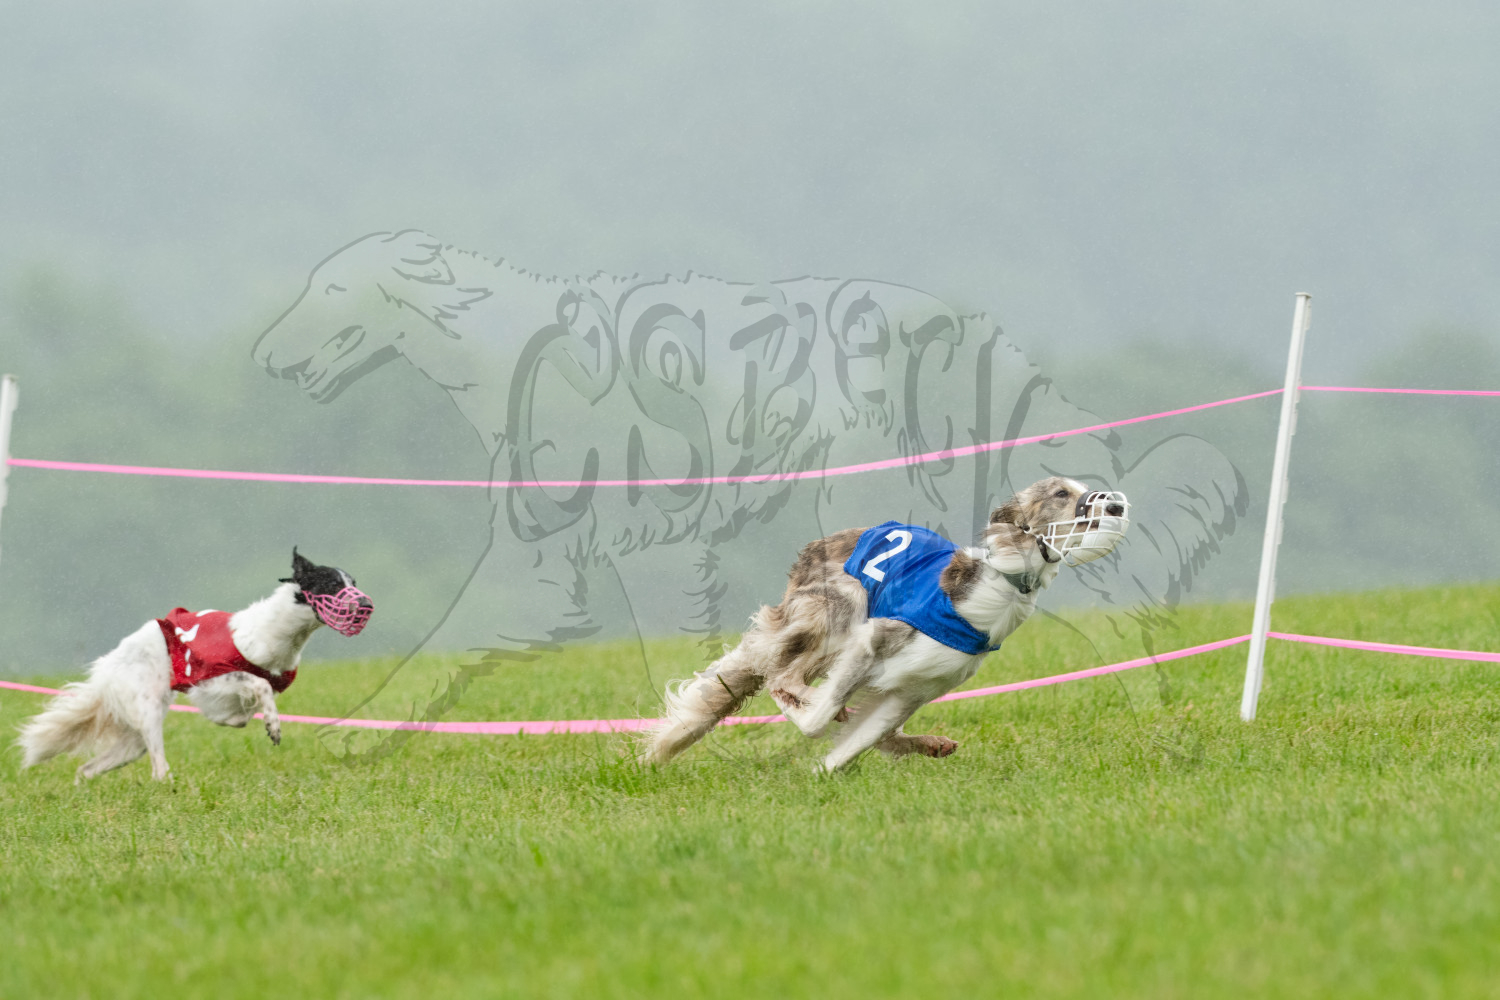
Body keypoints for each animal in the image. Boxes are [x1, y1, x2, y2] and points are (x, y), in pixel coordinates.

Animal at [17, 550, 372, 782]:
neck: (274, 634)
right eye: (331, 583)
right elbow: (258, 686)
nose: (366, 603)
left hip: (132, 742)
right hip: (148, 711)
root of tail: (105, 669)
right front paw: (273, 726)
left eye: (353, 581)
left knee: (86, 769)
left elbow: (244, 710)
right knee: (159, 769)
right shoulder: (209, 680)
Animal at [641, 477, 1128, 771]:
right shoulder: (873, 638)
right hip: (838, 611)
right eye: (1061, 493)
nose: (1117, 506)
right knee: (784, 675)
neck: (1000, 584)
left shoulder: (913, 689)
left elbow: (857, 735)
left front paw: (827, 766)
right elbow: (816, 718)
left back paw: (928, 742)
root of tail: (810, 551)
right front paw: (812, 713)